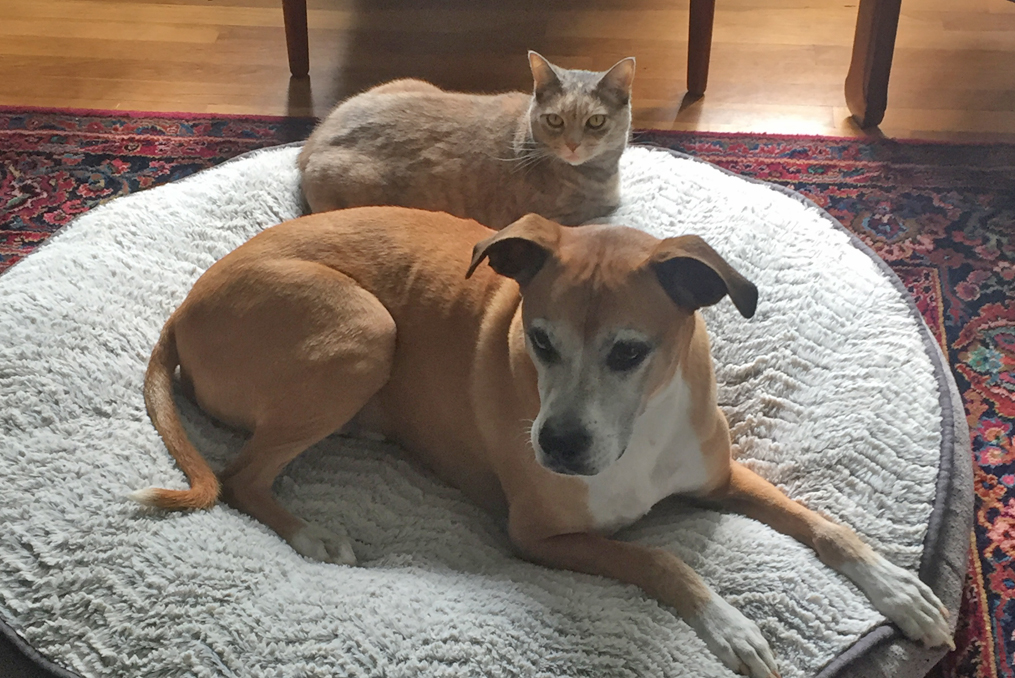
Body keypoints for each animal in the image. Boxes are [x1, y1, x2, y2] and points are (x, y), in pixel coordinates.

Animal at [132, 208, 950, 678]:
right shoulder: (539, 537)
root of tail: (183, 307)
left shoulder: (719, 476)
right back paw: (312, 533)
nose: (555, 447)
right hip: (364, 331)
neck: (639, 432)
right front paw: (731, 627)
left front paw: (901, 591)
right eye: (539, 340)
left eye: (629, 352)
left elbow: (826, 526)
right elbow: (659, 560)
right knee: (242, 474)